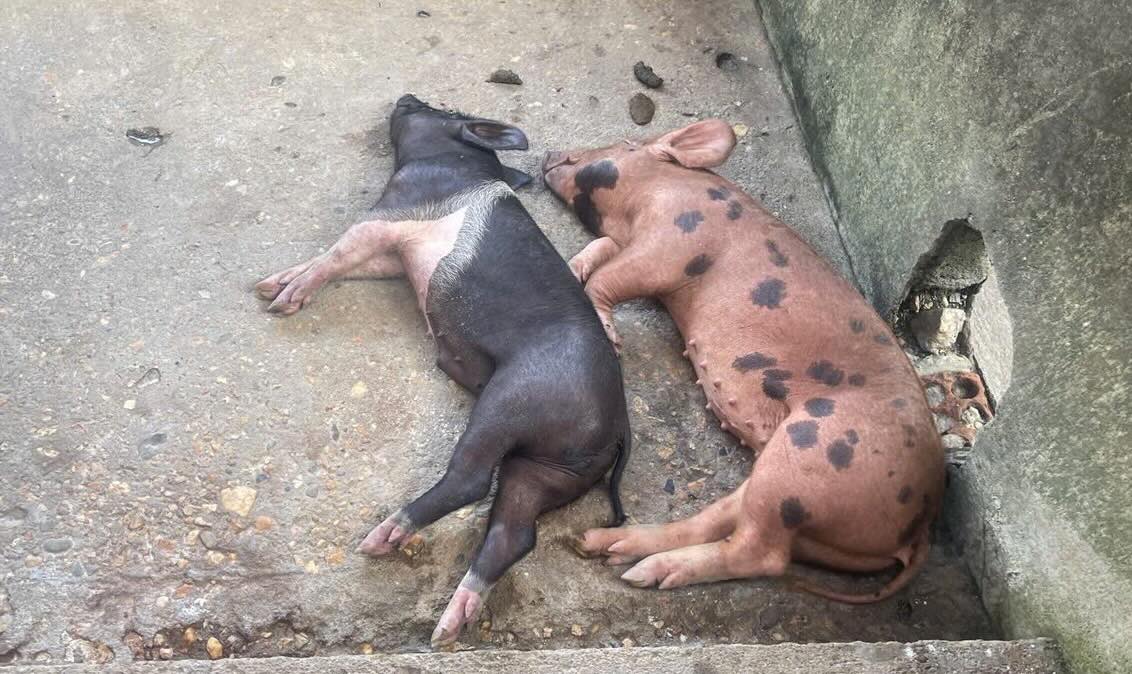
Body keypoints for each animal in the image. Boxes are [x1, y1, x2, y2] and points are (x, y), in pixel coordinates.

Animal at [256, 95, 630, 647]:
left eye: (442, 109)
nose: (406, 96)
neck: (460, 163)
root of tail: (620, 422)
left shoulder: (391, 214)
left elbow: (335, 254)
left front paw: (278, 301)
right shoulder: (392, 255)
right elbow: (336, 261)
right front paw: (268, 285)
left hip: (511, 398)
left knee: (471, 480)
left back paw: (378, 538)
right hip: (552, 470)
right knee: (514, 532)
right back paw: (446, 630)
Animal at [542, 119, 945, 602]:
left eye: (626, 143)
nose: (549, 154)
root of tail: (921, 526)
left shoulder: (678, 239)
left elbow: (615, 275)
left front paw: (611, 337)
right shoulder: (633, 240)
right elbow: (600, 250)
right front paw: (573, 269)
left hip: (810, 458)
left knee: (760, 554)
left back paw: (645, 573)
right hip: (781, 475)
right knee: (723, 519)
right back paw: (601, 546)